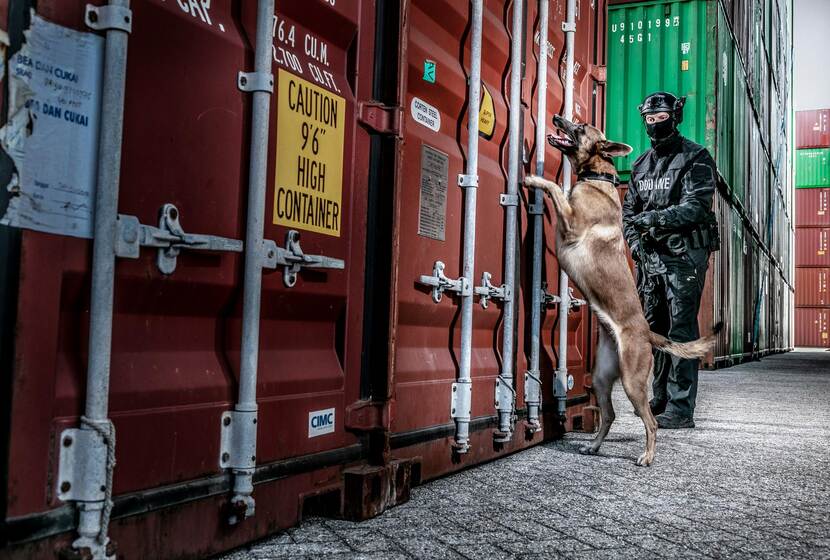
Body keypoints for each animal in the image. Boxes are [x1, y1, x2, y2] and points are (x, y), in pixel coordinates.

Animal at [524, 115, 720, 468]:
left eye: (580, 126)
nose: (558, 117)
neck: (596, 178)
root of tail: (647, 333)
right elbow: (559, 190)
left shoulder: (571, 223)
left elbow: (555, 189)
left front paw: (534, 178)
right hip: (602, 378)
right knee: (610, 415)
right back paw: (594, 446)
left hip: (632, 381)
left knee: (650, 422)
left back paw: (647, 456)